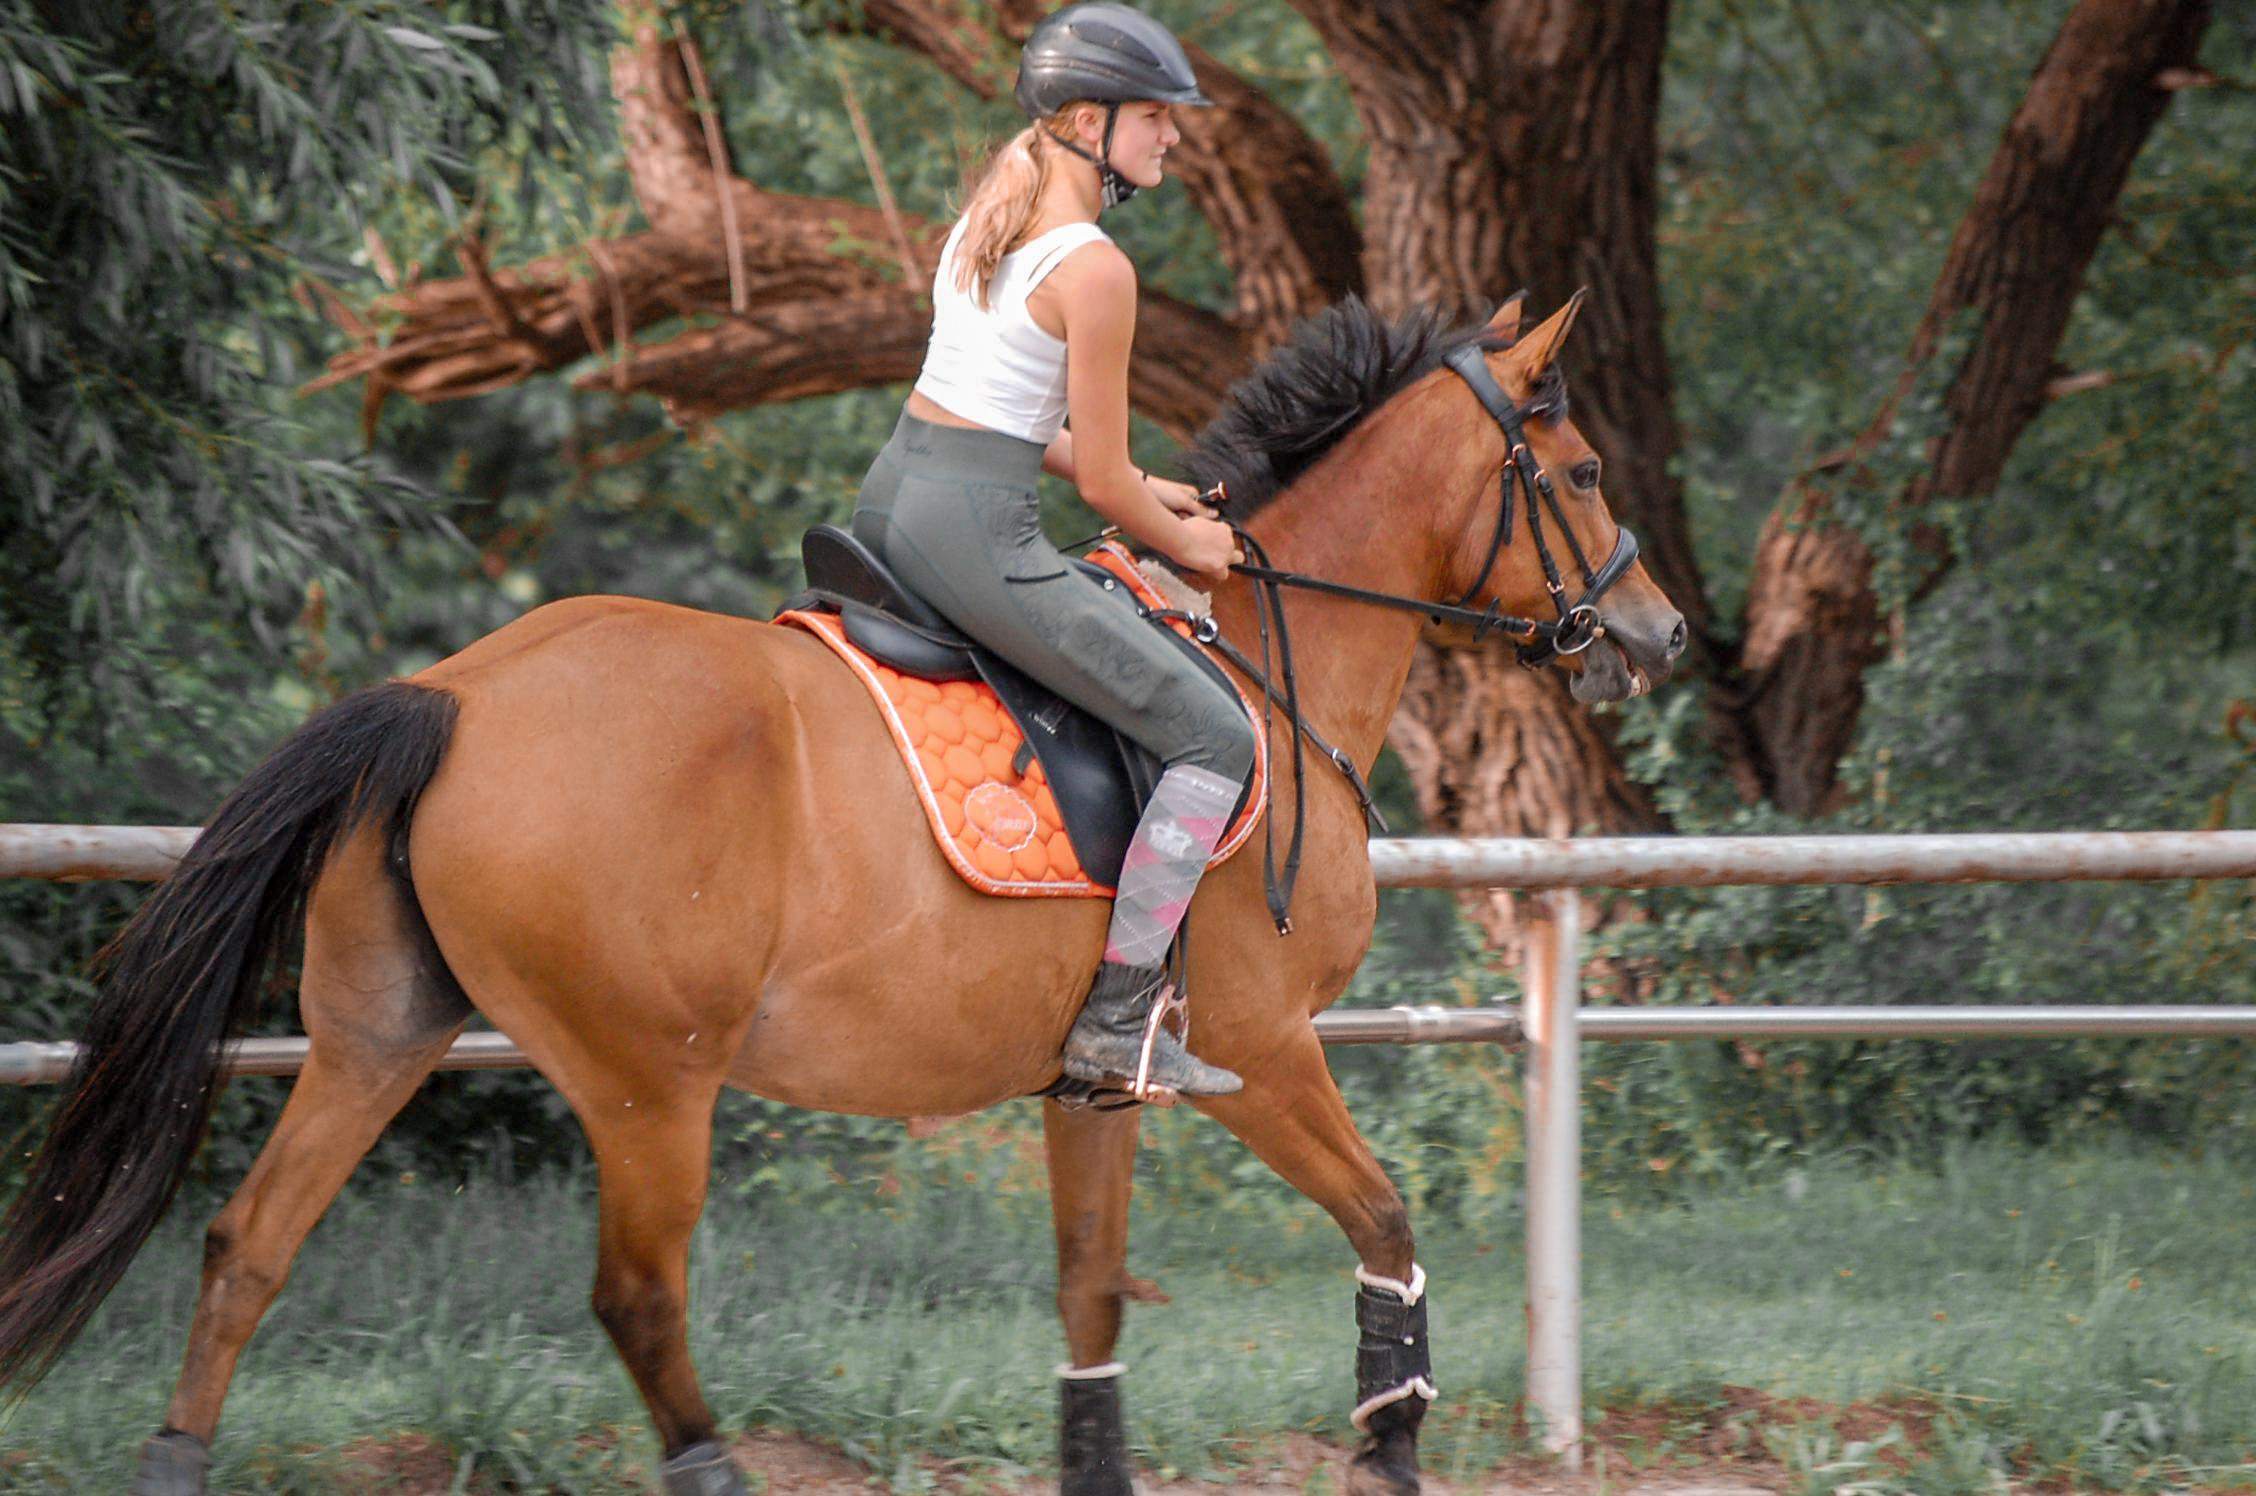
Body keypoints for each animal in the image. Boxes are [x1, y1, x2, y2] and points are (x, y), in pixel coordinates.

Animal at [0, 286, 1687, 1489]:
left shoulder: (1099, 1082)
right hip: (649, 1081)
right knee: (639, 1299)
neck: (1269, 670)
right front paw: (1391, 1432)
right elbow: (1386, 1221)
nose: (1658, 632)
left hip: (376, 1038)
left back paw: (175, 1458)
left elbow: (1089, 1299)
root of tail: (455, 694)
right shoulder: (1260, 1053)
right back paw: (714, 1467)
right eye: (1583, 470)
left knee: (246, 1248)